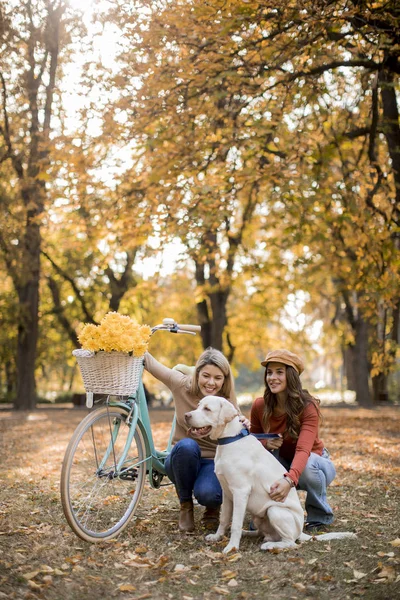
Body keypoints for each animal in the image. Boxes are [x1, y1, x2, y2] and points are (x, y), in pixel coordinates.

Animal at [184, 394, 356, 552]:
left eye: (207, 409)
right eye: (198, 406)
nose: (187, 415)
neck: (229, 439)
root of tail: (301, 532)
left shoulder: (240, 491)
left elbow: (236, 523)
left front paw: (232, 547)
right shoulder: (227, 493)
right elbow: (224, 519)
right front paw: (217, 536)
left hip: (275, 511)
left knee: (291, 542)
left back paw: (270, 545)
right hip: (258, 516)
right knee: (262, 532)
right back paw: (249, 533)